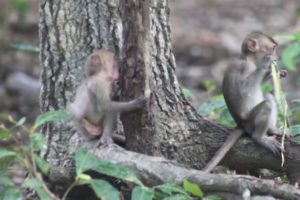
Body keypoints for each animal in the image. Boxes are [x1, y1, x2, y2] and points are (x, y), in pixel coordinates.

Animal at [203, 31, 288, 172]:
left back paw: (272, 129)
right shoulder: (244, 67)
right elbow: (244, 90)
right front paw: (266, 64)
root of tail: (241, 124)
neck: (249, 60)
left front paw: (278, 73)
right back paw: (260, 138)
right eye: (273, 48)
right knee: (266, 105)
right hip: (250, 122)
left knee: (268, 97)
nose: (276, 57)